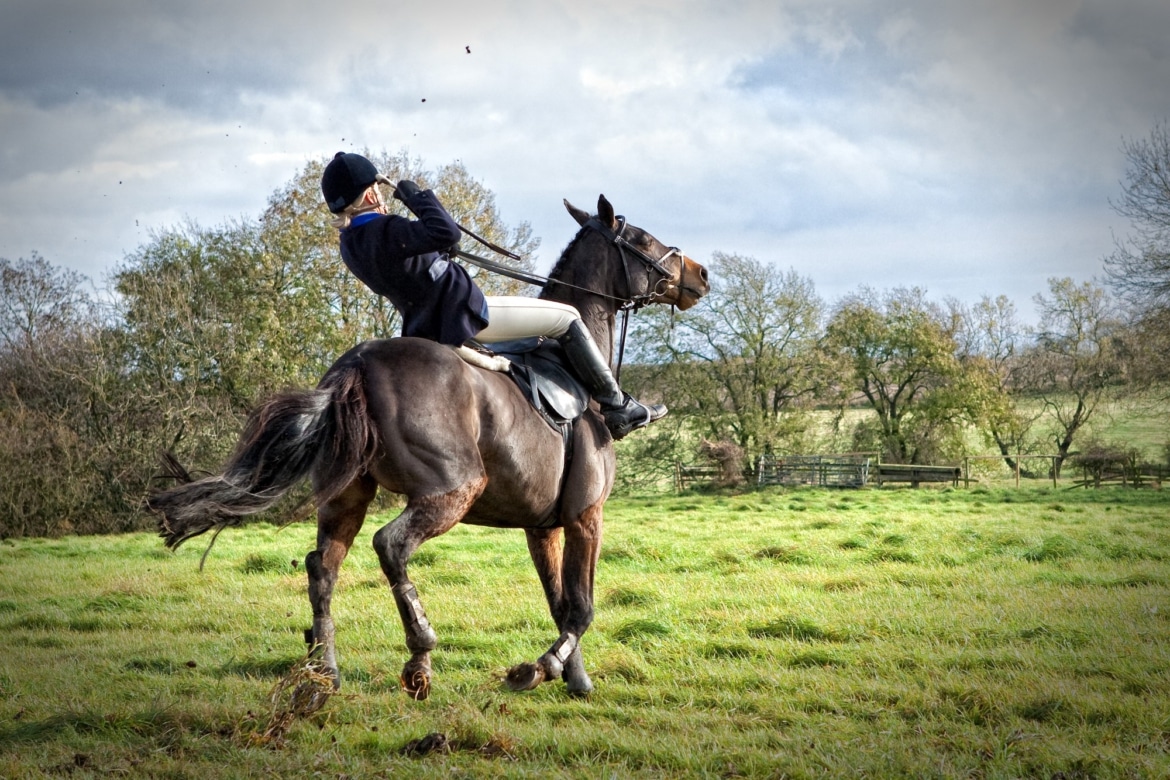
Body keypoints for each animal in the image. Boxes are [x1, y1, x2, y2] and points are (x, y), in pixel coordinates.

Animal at [148, 194, 710, 699]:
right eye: (642, 240)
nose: (700, 275)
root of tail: (357, 364)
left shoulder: (542, 526)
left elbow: (559, 602)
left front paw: (576, 680)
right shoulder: (585, 516)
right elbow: (582, 608)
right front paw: (541, 668)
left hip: (346, 496)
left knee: (322, 566)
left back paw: (323, 670)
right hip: (452, 490)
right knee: (390, 546)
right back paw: (419, 656)